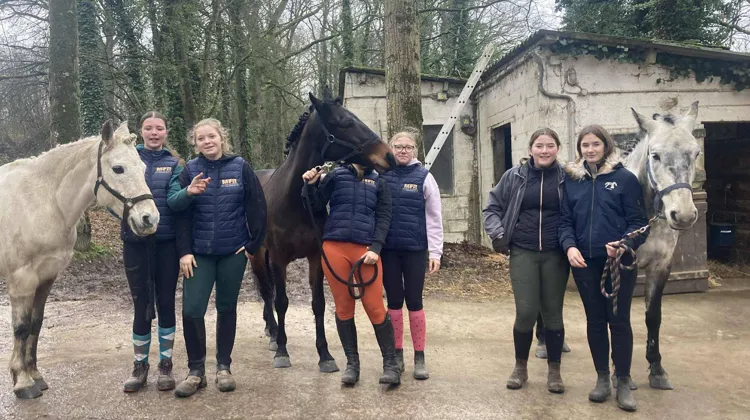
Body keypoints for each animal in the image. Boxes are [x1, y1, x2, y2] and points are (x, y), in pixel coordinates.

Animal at [0, 121, 159, 399]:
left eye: (143, 168)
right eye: (118, 168)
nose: (150, 219)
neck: (44, 202)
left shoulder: (46, 276)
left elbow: (35, 324)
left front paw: (35, 375)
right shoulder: (21, 279)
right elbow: (20, 327)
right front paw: (23, 382)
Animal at [250, 92, 396, 371]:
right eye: (346, 122)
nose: (389, 157)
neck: (296, 200)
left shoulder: (316, 257)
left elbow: (318, 304)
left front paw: (325, 354)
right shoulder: (278, 259)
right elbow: (282, 302)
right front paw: (282, 351)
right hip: (256, 255)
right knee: (266, 291)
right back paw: (273, 333)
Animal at [623, 101, 702, 390]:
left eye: (696, 153)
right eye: (655, 155)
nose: (684, 215)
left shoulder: (661, 267)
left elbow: (653, 316)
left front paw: (656, 369)